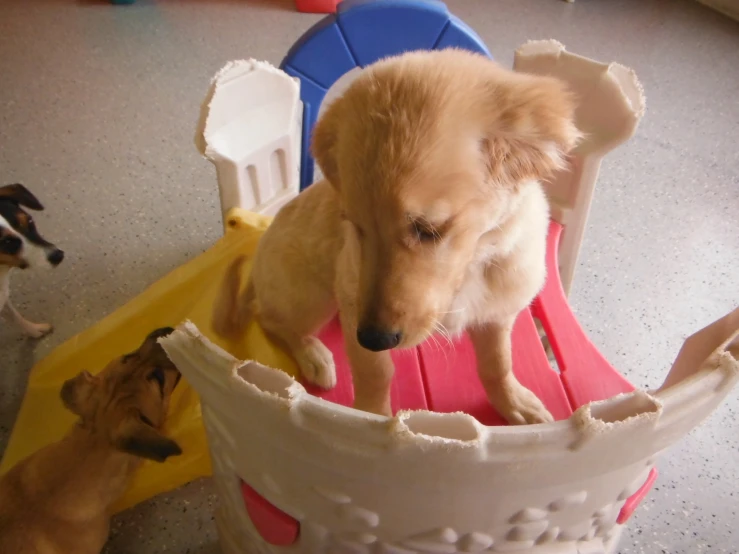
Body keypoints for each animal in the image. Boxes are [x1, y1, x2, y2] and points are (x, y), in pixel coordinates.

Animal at [211, 49, 580, 422]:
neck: (471, 266)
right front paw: (369, 419)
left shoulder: (497, 312)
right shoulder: (351, 298)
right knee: (269, 318)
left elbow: (498, 363)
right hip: (309, 296)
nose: (373, 338)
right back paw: (313, 355)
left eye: (428, 229)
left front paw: (513, 402)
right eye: (356, 226)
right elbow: (376, 372)